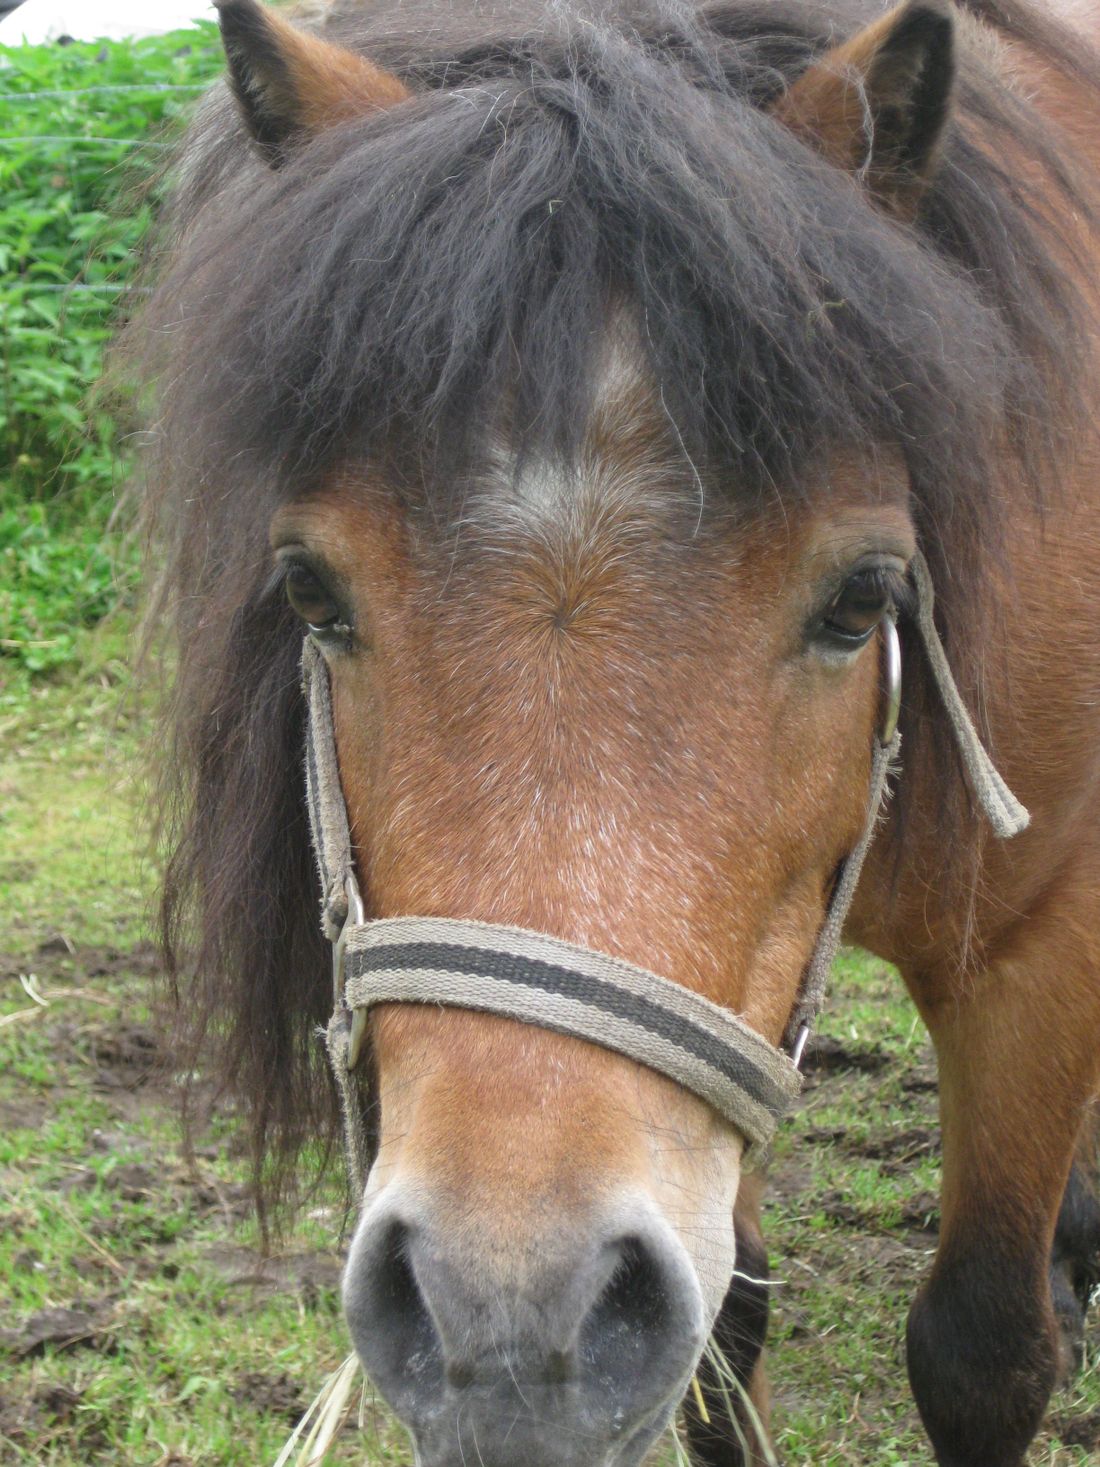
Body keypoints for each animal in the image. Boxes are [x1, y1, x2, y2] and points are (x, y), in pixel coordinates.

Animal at [127, 0, 1100, 1461]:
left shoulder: (1038, 946)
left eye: (862, 597)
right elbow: (722, 1340)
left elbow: (981, 1344)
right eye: (309, 590)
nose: (502, 1322)